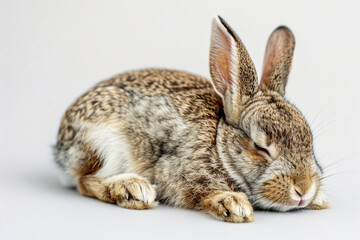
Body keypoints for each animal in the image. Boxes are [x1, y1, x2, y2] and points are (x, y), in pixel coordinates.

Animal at [53, 15, 330, 223]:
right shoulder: (183, 174)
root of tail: (60, 147)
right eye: (260, 147)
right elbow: (200, 193)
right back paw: (132, 189)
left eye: (310, 141)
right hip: (104, 143)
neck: (219, 145)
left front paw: (320, 199)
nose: (304, 189)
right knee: (84, 182)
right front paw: (233, 204)